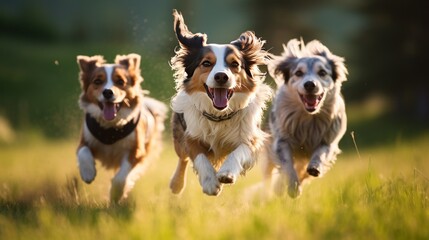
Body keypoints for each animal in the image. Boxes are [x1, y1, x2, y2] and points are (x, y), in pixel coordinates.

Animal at [75, 54, 166, 202]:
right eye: (97, 81)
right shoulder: (85, 140)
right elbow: (83, 151)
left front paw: (116, 194)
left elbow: (122, 176)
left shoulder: (136, 150)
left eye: (120, 81)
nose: (107, 92)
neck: (110, 128)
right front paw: (88, 173)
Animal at [167, 10, 270, 196]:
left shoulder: (252, 136)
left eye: (235, 64)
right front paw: (210, 182)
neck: (219, 115)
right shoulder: (191, 134)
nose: (221, 76)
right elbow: (198, 155)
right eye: (206, 63)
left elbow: (239, 150)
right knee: (182, 158)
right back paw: (176, 184)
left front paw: (227, 172)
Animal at [260, 39, 348, 197]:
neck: (308, 117)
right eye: (299, 73)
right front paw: (293, 187)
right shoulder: (281, 140)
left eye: (322, 72)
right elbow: (287, 164)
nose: (310, 84)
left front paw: (315, 167)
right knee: (268, 175)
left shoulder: (329, 139)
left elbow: (321, 152)